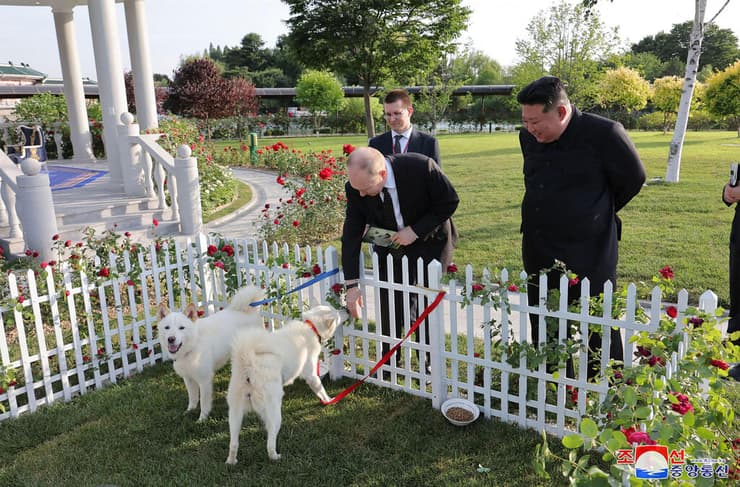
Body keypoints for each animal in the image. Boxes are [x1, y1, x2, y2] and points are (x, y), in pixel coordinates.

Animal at [156, 288, 264, 422]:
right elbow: (192, 397)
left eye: (181, 328)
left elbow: (203, 402)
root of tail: (248, 310)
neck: (194, 344)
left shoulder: (204, 381)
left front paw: (202, 419)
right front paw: (189, 411)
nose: (171, 339)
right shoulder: (188, 378)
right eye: (167, 327)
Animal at [225, 304, 344, 466]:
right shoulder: (311, 374)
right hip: (274, 413)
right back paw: (275, 456)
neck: (311, 326)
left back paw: (231, 461)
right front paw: (328, 400)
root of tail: (248, 362)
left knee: (233, 443)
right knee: (270, 442)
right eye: (337, 314)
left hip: (235, 413)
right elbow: (320, 388)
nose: (346, 310)